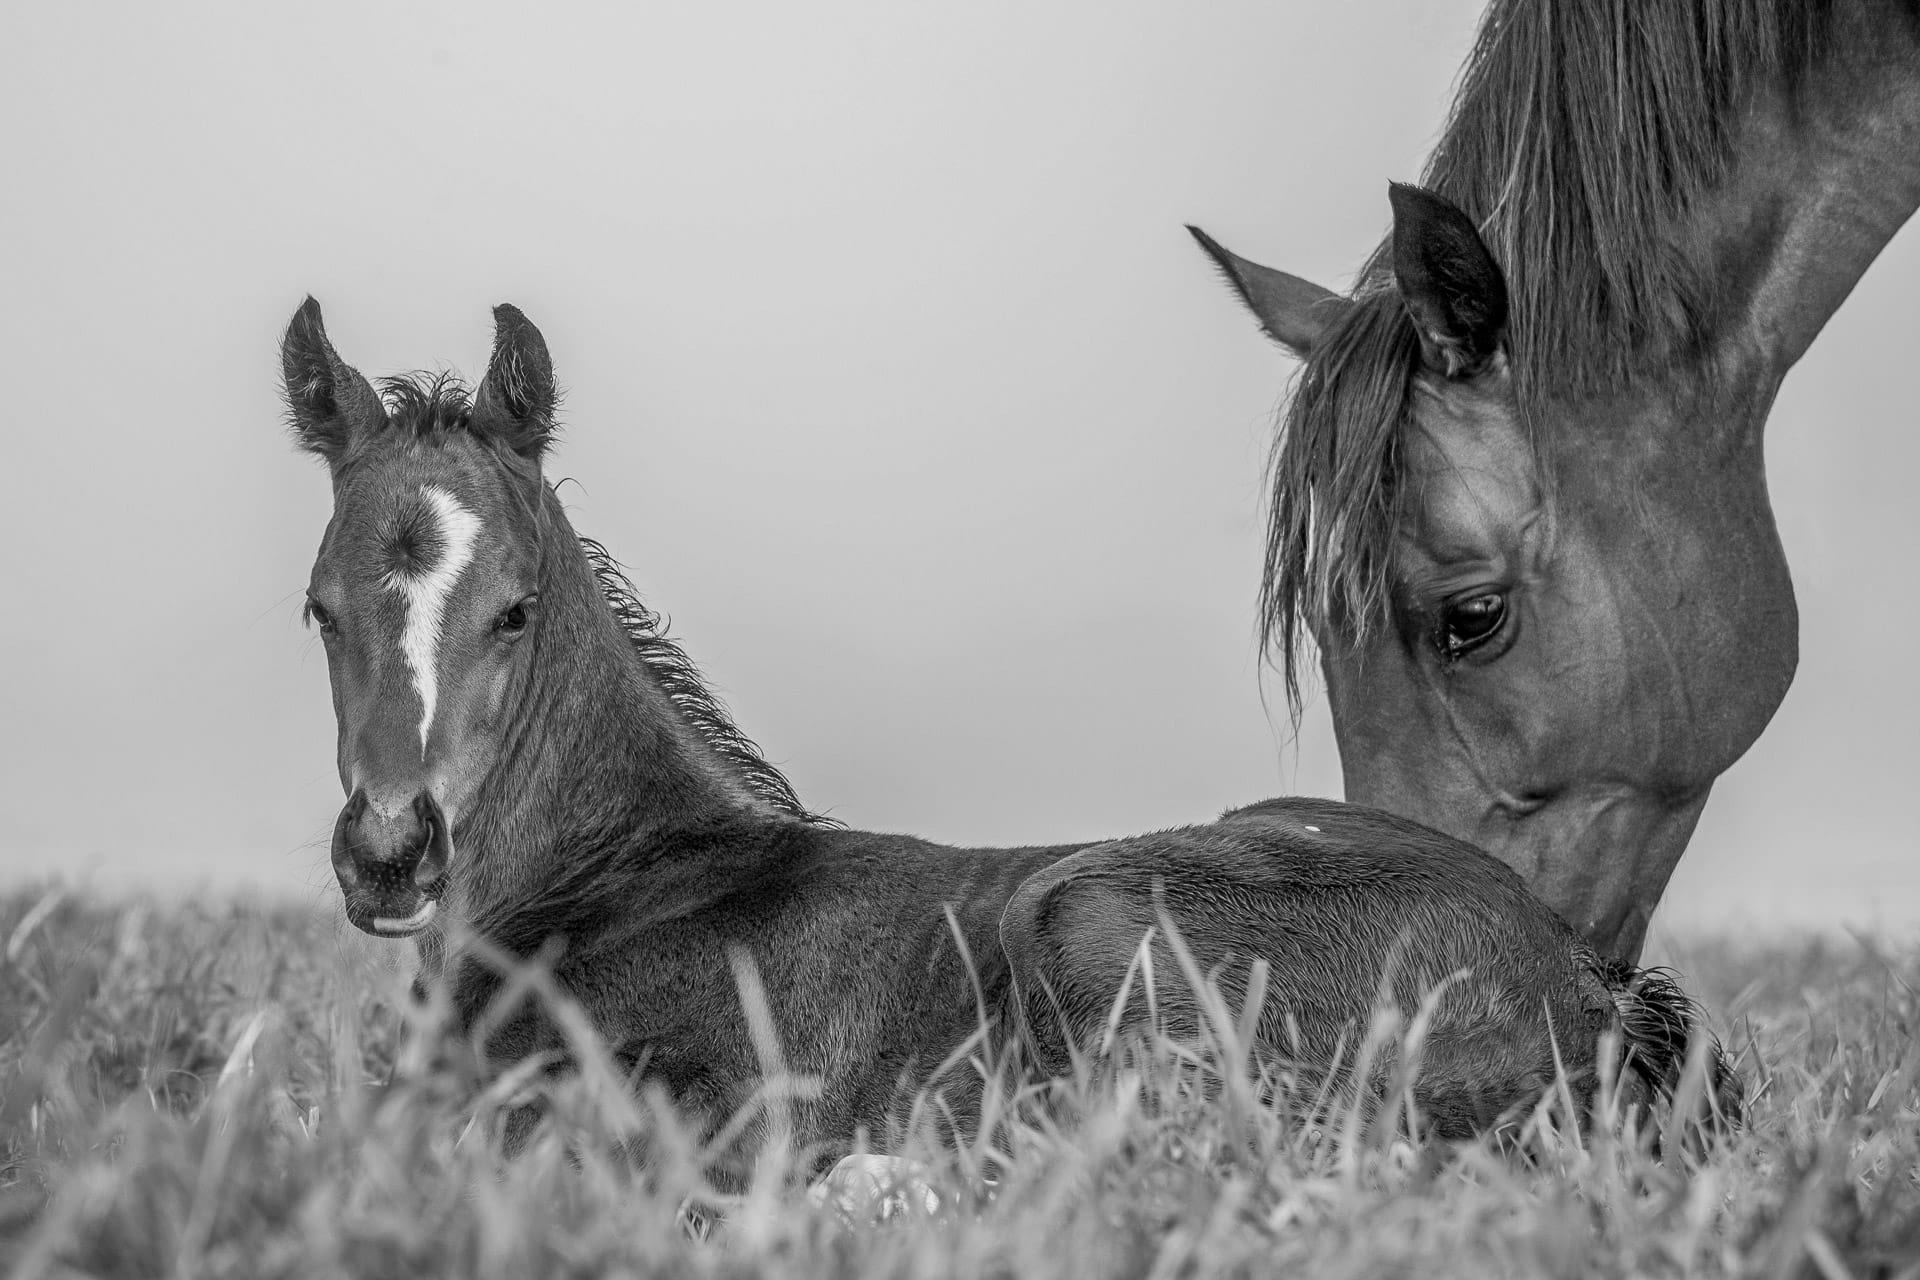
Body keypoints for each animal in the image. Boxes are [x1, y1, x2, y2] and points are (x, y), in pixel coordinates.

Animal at [283, 299, 1737, 1174]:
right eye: (319, 608)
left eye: (514, 609)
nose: (391, 854)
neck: (626, 879)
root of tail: (1586, 974)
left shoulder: (706, 1104)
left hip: (1094, 911)